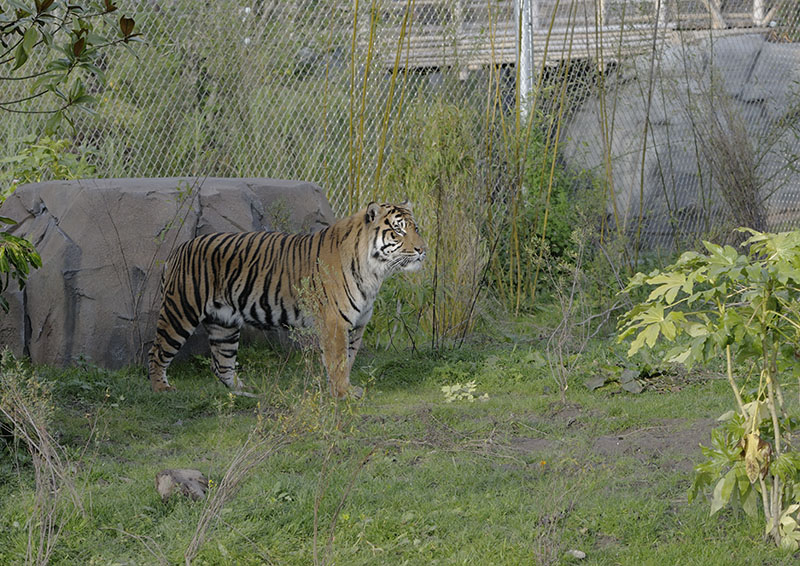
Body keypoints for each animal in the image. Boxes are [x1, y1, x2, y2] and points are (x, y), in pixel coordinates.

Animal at [148, 201, 426, 398]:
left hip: (224, 324)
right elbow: (337, 361)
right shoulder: (335, 322)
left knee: (221, 365)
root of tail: (178, 250)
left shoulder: (357, 324)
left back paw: (244, 391)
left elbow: (348, 360)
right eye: (398, 230)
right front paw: (342, 393)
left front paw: (346, 388)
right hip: (181, 311)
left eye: (416, 228)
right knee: (157, 351)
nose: (422, 250)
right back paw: (161, 388)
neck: (374, 272)